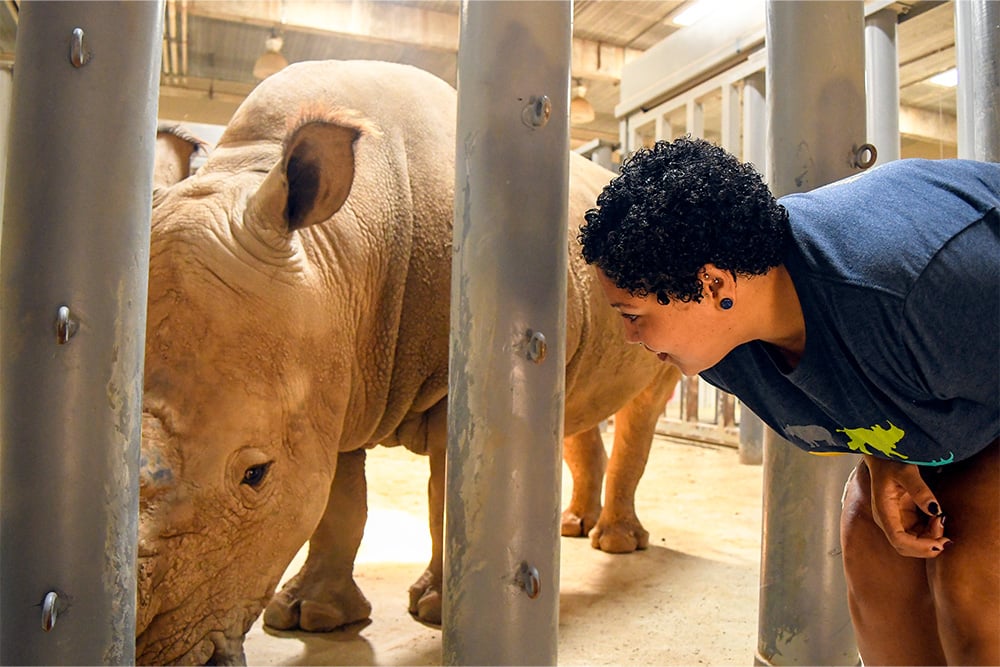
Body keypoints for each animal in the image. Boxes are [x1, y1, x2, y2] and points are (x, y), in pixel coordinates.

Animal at [138, 59, 681, 665]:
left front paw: (442, 614)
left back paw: (615, 545)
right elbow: (337, 503)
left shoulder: (437, 384)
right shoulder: (332, 375)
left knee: (645, 403)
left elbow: (447, 494)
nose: (149, 649)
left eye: (255, 475)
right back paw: (570, 529)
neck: (340, 253)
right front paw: (311, 618)